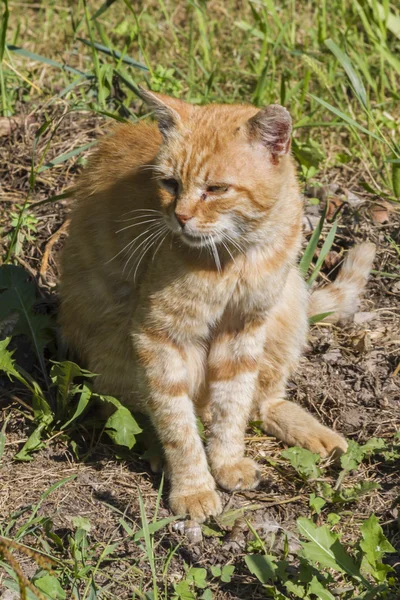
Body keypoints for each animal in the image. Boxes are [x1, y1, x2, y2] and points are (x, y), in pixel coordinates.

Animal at [58, 88, 376, 520]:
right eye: (170, 183)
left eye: (217, 189)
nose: (180, 216)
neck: (238, 254)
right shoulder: (161, 336)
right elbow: (176, 424)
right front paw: (193, 487)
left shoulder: (244, 329)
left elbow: (235, 404)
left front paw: (226, 462)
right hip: (115, 350)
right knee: (133, 409)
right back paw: (157, 452)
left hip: (288, 308)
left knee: (262, 402)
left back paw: (314, 433)